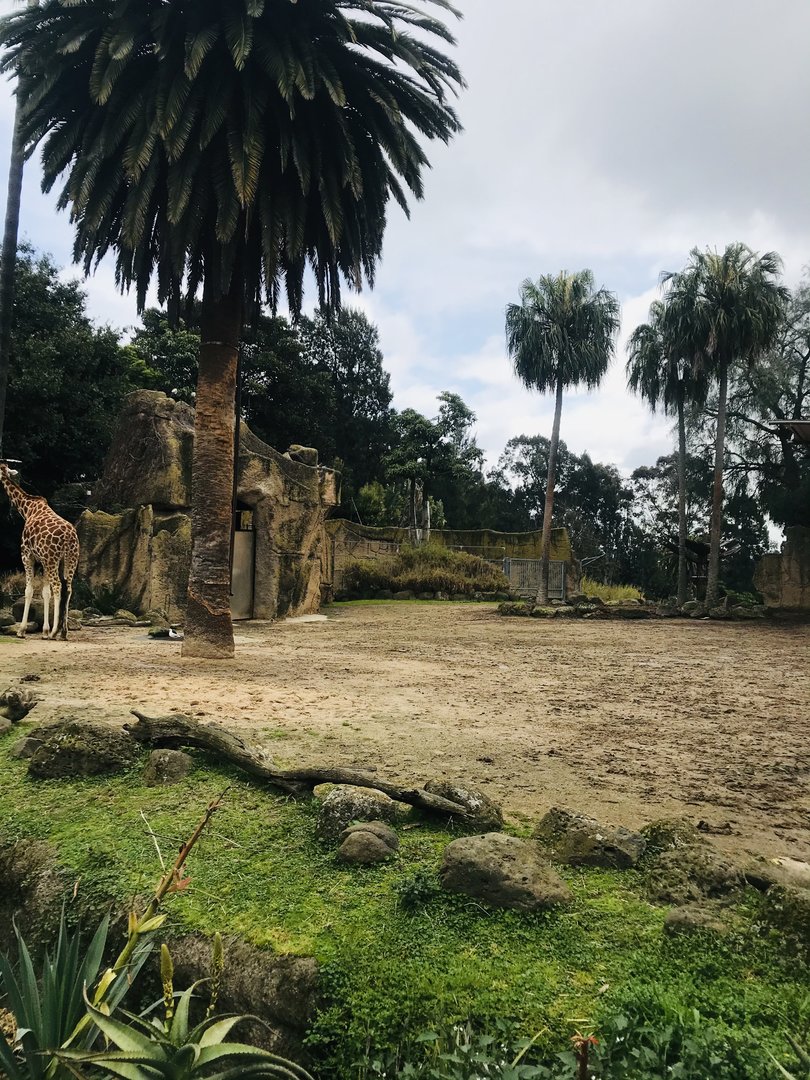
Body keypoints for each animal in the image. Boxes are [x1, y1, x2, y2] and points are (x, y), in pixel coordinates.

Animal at [0, 463, 80, 640]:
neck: (28, 509)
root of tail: (69, 537)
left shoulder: (27, 555)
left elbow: (29, 590)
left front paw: (22, 630)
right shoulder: (42, 561)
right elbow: (45, 592)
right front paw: (44, 630)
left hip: (53, 559)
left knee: (58, 586)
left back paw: (55, 632)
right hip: (70, 559)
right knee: (68, 588)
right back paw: (63, 632)